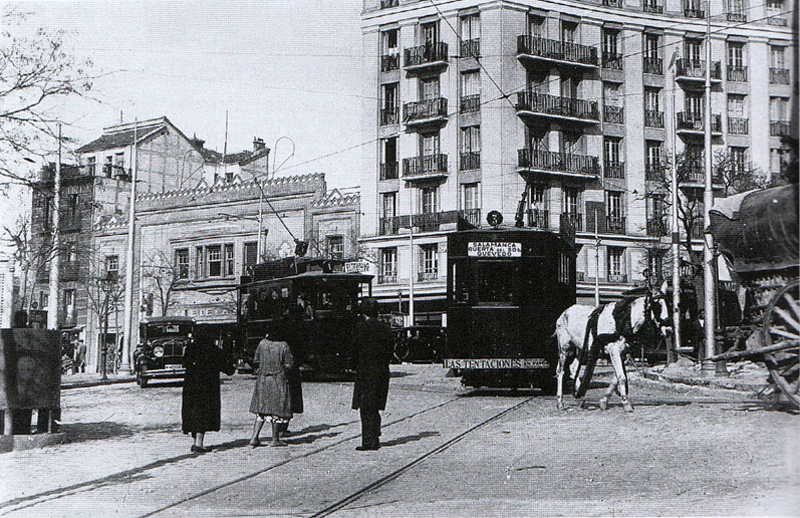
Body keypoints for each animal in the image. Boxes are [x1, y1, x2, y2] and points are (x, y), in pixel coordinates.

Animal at [556, 284, 668, 414]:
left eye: (668, 304)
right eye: (658, 305)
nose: (668, 329)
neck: (624, 320)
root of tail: (564, 313)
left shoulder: (621, 353)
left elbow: (616, 379)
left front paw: (604, 401)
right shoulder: (613, 351)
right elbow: (621, 377)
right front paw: (626, 403)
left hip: (583, 347)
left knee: (573, 367)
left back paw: (581, 397)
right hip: (565, 347)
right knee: (561, 371)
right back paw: (560, 402)